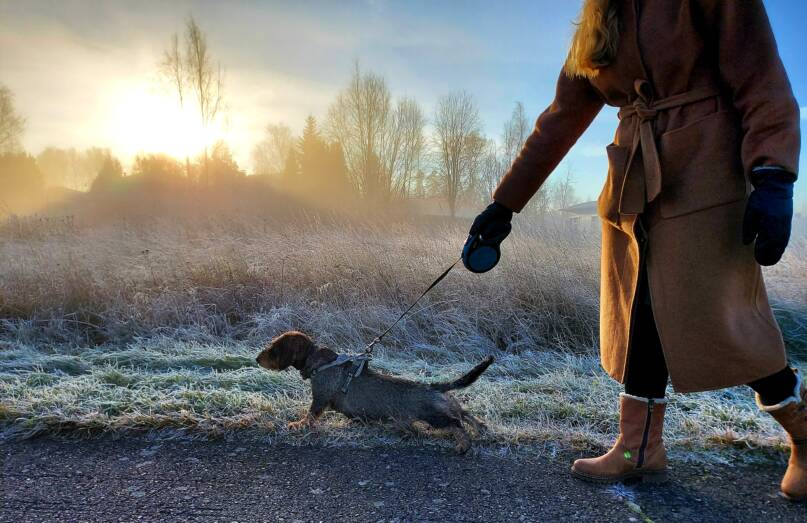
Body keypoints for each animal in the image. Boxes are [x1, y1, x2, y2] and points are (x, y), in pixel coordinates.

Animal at [258, 334, 492, 452]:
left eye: (274, 348)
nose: (256, 359)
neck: (318, 361)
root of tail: (433, 386)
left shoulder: (320, 399)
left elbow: (311, 415)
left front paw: (298, 424)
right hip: (447, 405)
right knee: (465, 414)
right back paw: (481, 429)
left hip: (434, 416)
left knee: (456, 423)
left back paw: (464, 444)